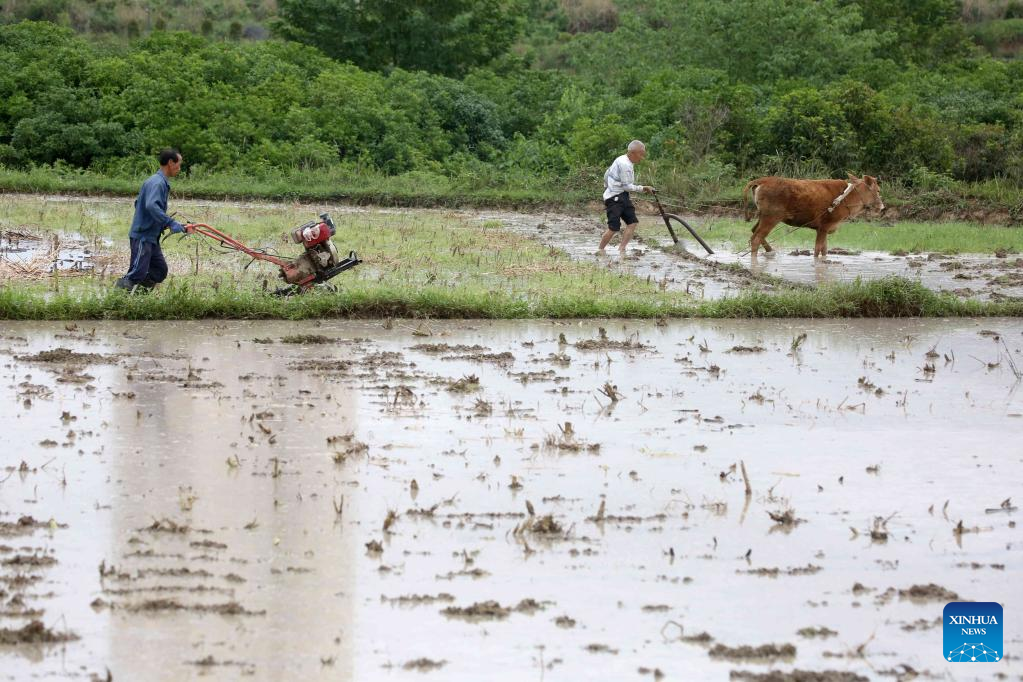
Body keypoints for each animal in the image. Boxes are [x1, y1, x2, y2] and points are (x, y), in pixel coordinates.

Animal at [740, 173, 883, 258]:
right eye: (878, 190)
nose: (882, 207)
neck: (846, 198)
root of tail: (762, 180)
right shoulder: (824, 227)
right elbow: (817, 250)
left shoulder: (823, 229)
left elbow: (824, 250)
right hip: (771, 218)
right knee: (756, 238)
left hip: (763, 216)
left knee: (754, 232)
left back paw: (770, 251)